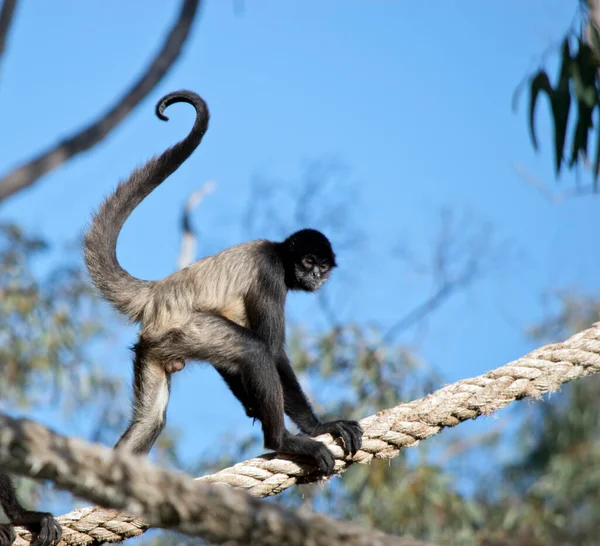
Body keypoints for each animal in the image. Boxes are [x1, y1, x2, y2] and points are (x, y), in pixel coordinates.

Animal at [83, 90, 366, 472]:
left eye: (323, 266)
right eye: (308, 262)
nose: (314, 275)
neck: (279, 253)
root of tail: (157, 291)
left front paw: (252, 407)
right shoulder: (269, 272)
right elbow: (272, 351)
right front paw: (319, 426)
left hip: (153, 348)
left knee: (150, 421)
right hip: (183, 328)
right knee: (254, 350)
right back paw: (282, 440)